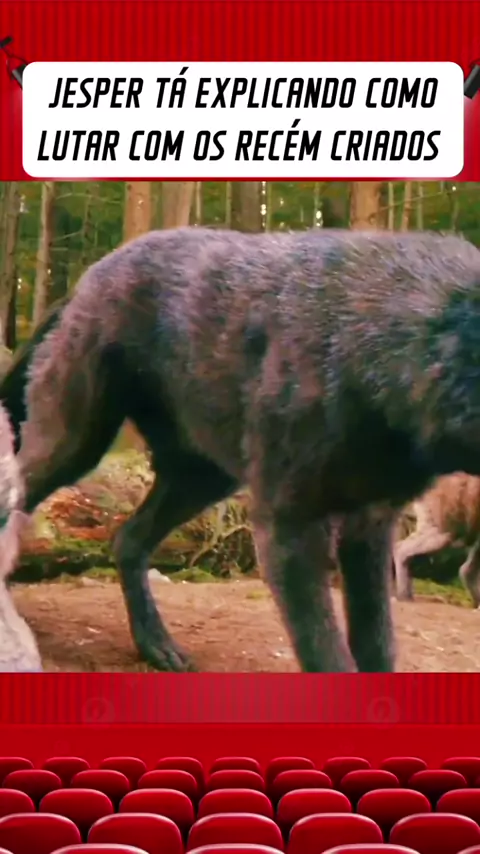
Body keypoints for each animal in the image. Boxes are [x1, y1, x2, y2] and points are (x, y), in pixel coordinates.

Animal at [2, 226, 480, 673]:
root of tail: (86, 278)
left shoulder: (370, 525)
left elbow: (377, 643)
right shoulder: (289, 528)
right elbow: (327, 653)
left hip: (205, 478)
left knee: (127, 539)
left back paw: (157, 645)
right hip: (76, 443)